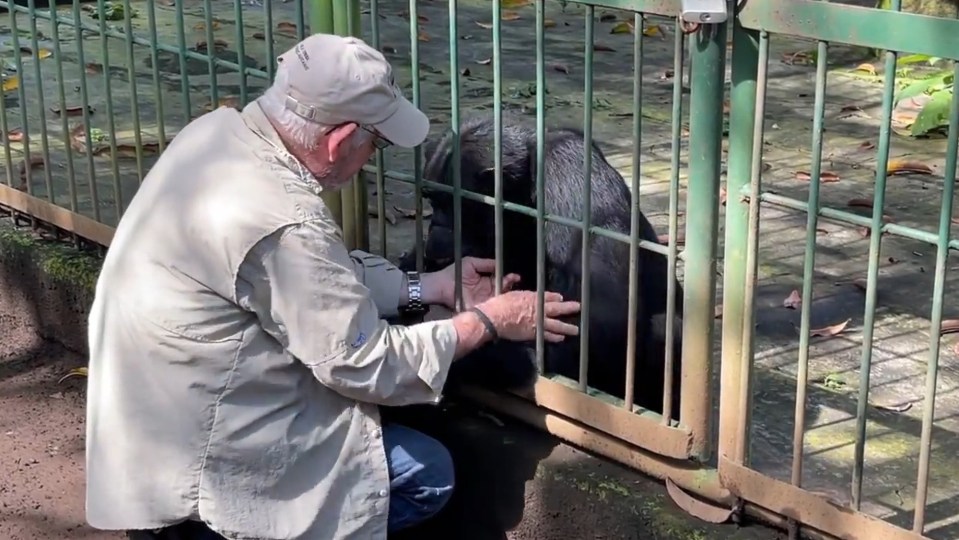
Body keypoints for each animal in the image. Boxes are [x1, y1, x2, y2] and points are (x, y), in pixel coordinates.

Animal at [396, 115, 684, 418]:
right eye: (432, 199)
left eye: (454, 205)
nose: (436, 233)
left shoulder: (571, 176)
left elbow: (605, 312)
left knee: (665, 327)